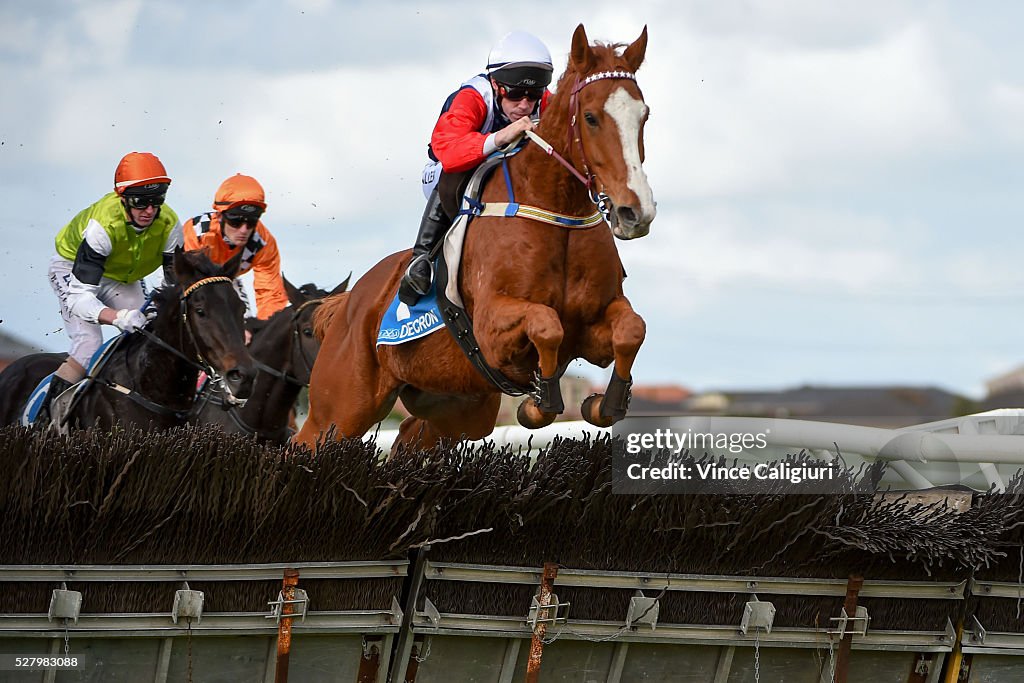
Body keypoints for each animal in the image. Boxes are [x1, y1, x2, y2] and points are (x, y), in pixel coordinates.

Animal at [294, 25, 655, 454]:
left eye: (644, 115)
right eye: (591, 117)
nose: (636, 212)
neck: (556, 211)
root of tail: (349, 302)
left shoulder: (595, 323)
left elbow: (631, 329)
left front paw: (607, 403)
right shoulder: (492, 328)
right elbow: (546, 323)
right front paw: (539, 403)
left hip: (457, 407)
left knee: (409, 437)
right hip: (339, 409)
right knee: (305, 439)